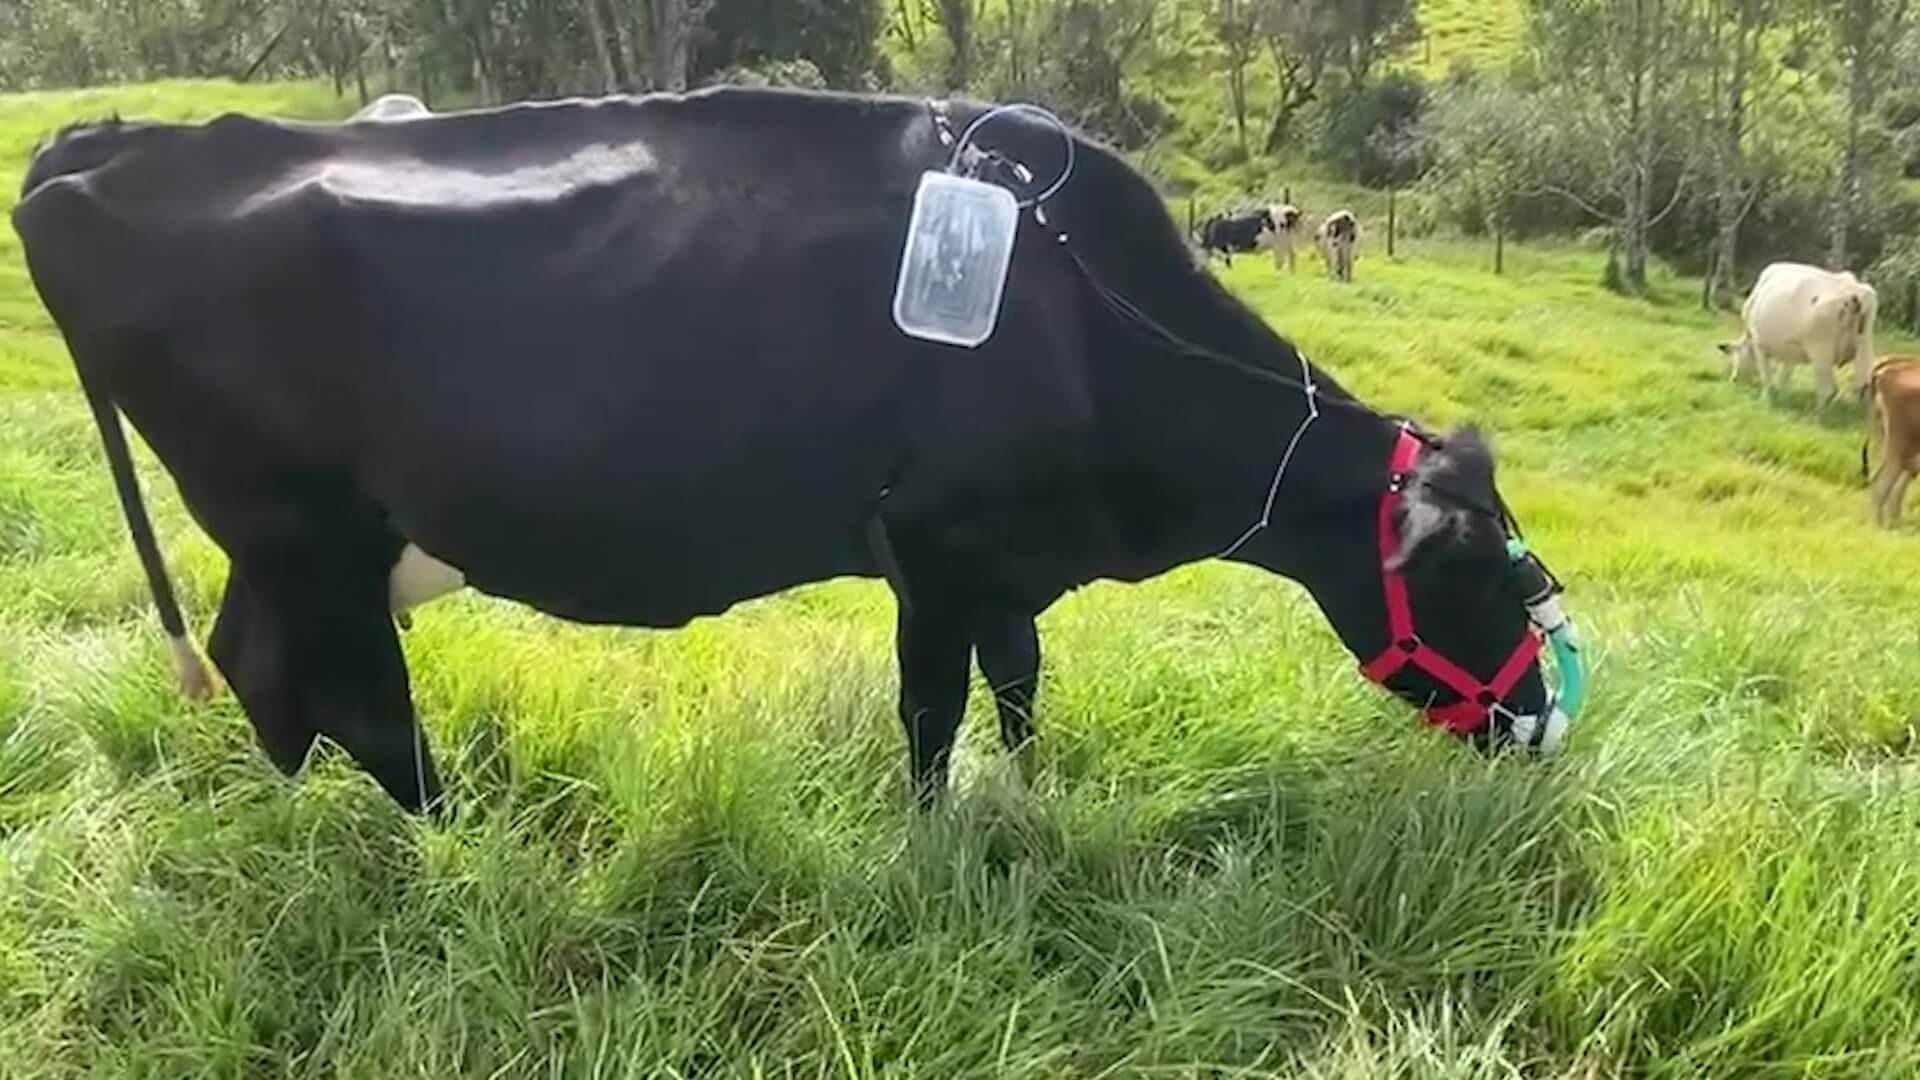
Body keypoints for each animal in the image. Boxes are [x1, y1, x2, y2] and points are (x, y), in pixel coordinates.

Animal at [11, 88, 1574, 807]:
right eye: (1486, 575)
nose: (1543, 725)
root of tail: (114, 137)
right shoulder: (935, 550)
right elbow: (934, 717)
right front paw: (939, 842)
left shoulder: (1007, 566)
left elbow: (1020, 688)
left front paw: (1031, 801)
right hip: (305, 531)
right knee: (353, 697)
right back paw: (442, 849)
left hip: (288, 542)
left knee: (269, 678)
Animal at [1720, 261, 1881, 407]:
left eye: (1736, 355)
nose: (1734, 379)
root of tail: (1853, 292)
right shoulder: (1790, 349)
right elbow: (1785, 375)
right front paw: (1783, 395)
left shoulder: (1760, 344)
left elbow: (1767, 376)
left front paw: (1767, 399)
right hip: (1864, 343)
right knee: (1864, 386)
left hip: (1820, 349)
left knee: (1828, 390)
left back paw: (1818, 412)